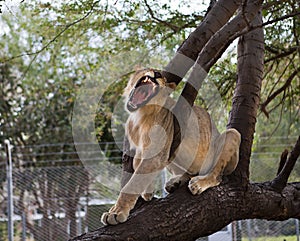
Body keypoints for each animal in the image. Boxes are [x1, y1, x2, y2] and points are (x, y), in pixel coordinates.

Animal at [101, 68, 241, 226]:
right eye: (148, 69)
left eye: (161, 76)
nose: (157, 74)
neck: (140, 116)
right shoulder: (141, 149)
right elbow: (137, 166)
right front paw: (147, 191)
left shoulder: (157, 154)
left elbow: (132, 184)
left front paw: (116, 212)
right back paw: (175, 182)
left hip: (232, 135)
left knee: (217, 176)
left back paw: (199, 183)